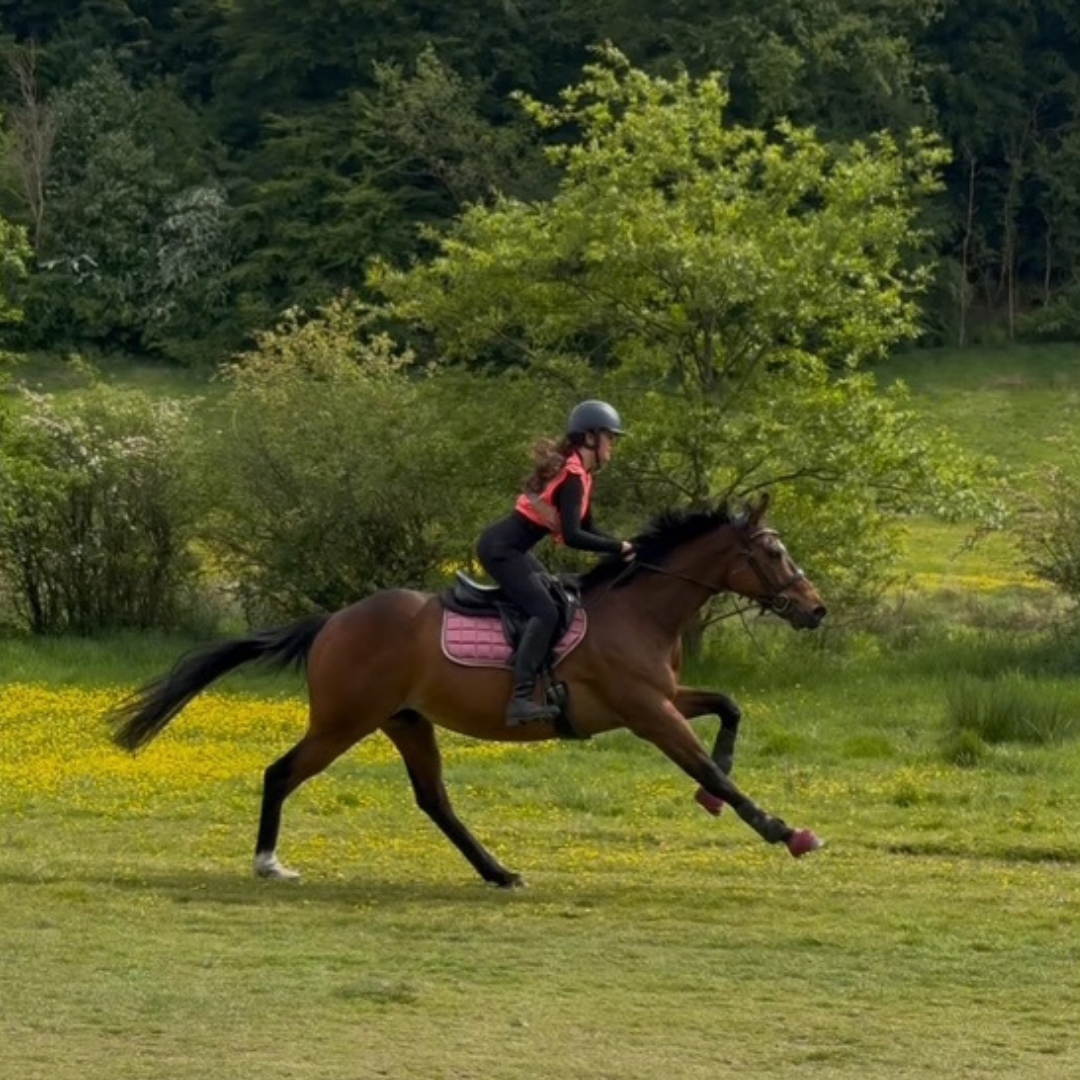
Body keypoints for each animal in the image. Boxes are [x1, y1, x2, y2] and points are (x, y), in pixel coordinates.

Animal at [108, 493, 827, 887]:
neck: (641, 609)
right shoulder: (647, 711)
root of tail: (332, 622)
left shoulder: (659, 699)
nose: (815, 609)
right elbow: (712, 765)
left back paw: (498, 872)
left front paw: (717, 799)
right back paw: (267, 863)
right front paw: (784, 831)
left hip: (405, 720)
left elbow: (729, 711)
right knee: (281, 772)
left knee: (434, 800)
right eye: (774, 553)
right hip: (344, 721)